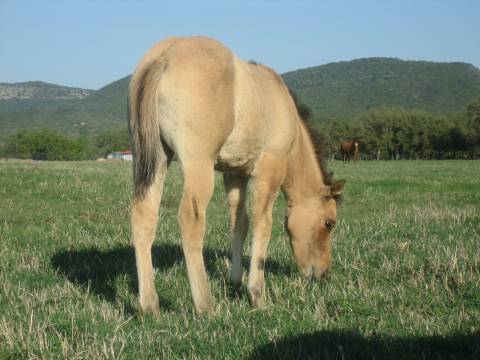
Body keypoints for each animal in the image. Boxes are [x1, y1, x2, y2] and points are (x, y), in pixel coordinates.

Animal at [127, 35, 344, 314]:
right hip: (198, 165)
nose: (323, 271)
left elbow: (239, 224)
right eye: (329, 223)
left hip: (156, 160)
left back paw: (150, 304)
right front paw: (257, 293)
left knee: (143, 215)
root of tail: (164, 57)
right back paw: (205, 304)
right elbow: (263, 224)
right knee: (190, 220)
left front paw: (235, 281)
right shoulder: (269, 171)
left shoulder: (234, 175)